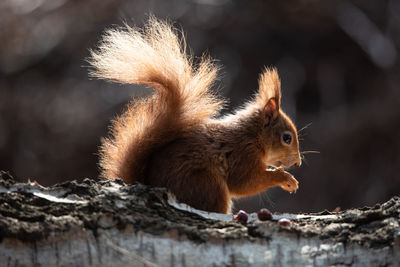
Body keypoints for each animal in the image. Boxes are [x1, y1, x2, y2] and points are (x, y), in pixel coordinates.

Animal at [87, 16, 300, 215]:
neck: (253, 134)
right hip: (206, 183)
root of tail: (147, 183)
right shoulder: (242, 154)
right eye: (287, 138)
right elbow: (245, 183)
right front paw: (285, 178)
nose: (298, 163)